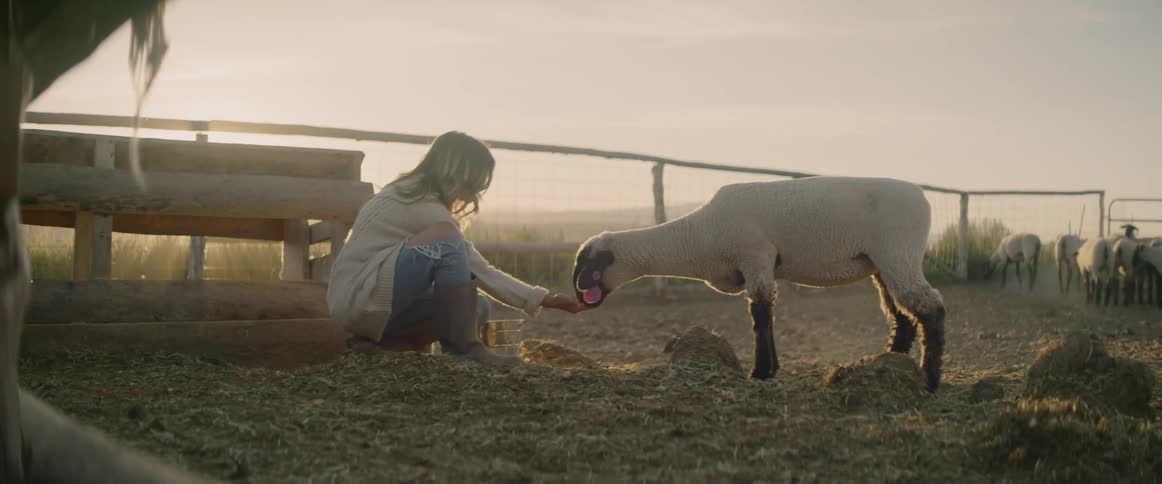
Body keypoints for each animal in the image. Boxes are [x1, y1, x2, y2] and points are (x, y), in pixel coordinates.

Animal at [571, 176, 946, 391]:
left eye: (588, 265)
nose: (582, 297)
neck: (697, 238)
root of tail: (923, 197)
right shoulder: (758, 265)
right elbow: (764, 314)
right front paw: (770, 369)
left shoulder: (756, 257)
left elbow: (760, 315)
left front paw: (761, 371)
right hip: (881, 262)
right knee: (901, 314)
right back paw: (892, 361)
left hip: (899, 252)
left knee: (931, 307)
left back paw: (929, 379)